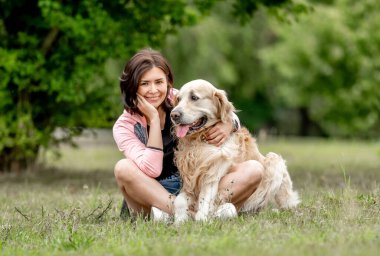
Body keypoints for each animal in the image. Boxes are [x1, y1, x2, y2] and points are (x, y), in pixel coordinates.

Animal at [170, 79, 300, 223]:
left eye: (194, 97)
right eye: (178, 99)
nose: (173, 115)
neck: (199, 141)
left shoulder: (212, 173)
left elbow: (205, 200)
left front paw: (202, 219)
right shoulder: (187, 179)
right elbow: (180, 200)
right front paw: (180, 220)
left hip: (274, 160)